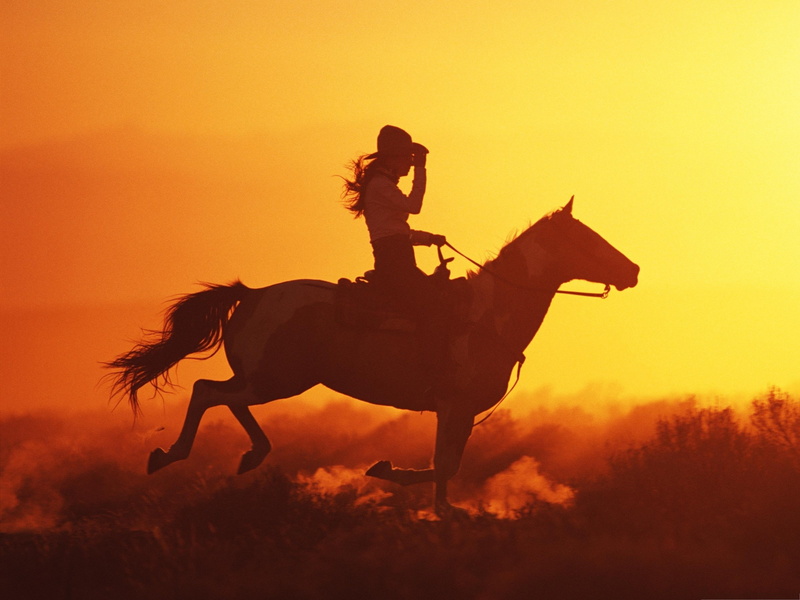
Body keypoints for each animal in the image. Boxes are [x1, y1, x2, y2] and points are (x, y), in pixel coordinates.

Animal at [106, 197, 639, 515]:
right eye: (589, 240)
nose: (632, 270)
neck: (487, 314)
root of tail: (253, 295)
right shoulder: (456, 405)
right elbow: (445, 466)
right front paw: (410, 487)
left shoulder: (456, 412)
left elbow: (446, 466)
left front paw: (414, 492)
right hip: (276, 379)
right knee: (206, 392)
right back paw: (170, 454)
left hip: (269, 380)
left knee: (227, 398)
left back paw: (252, 454)